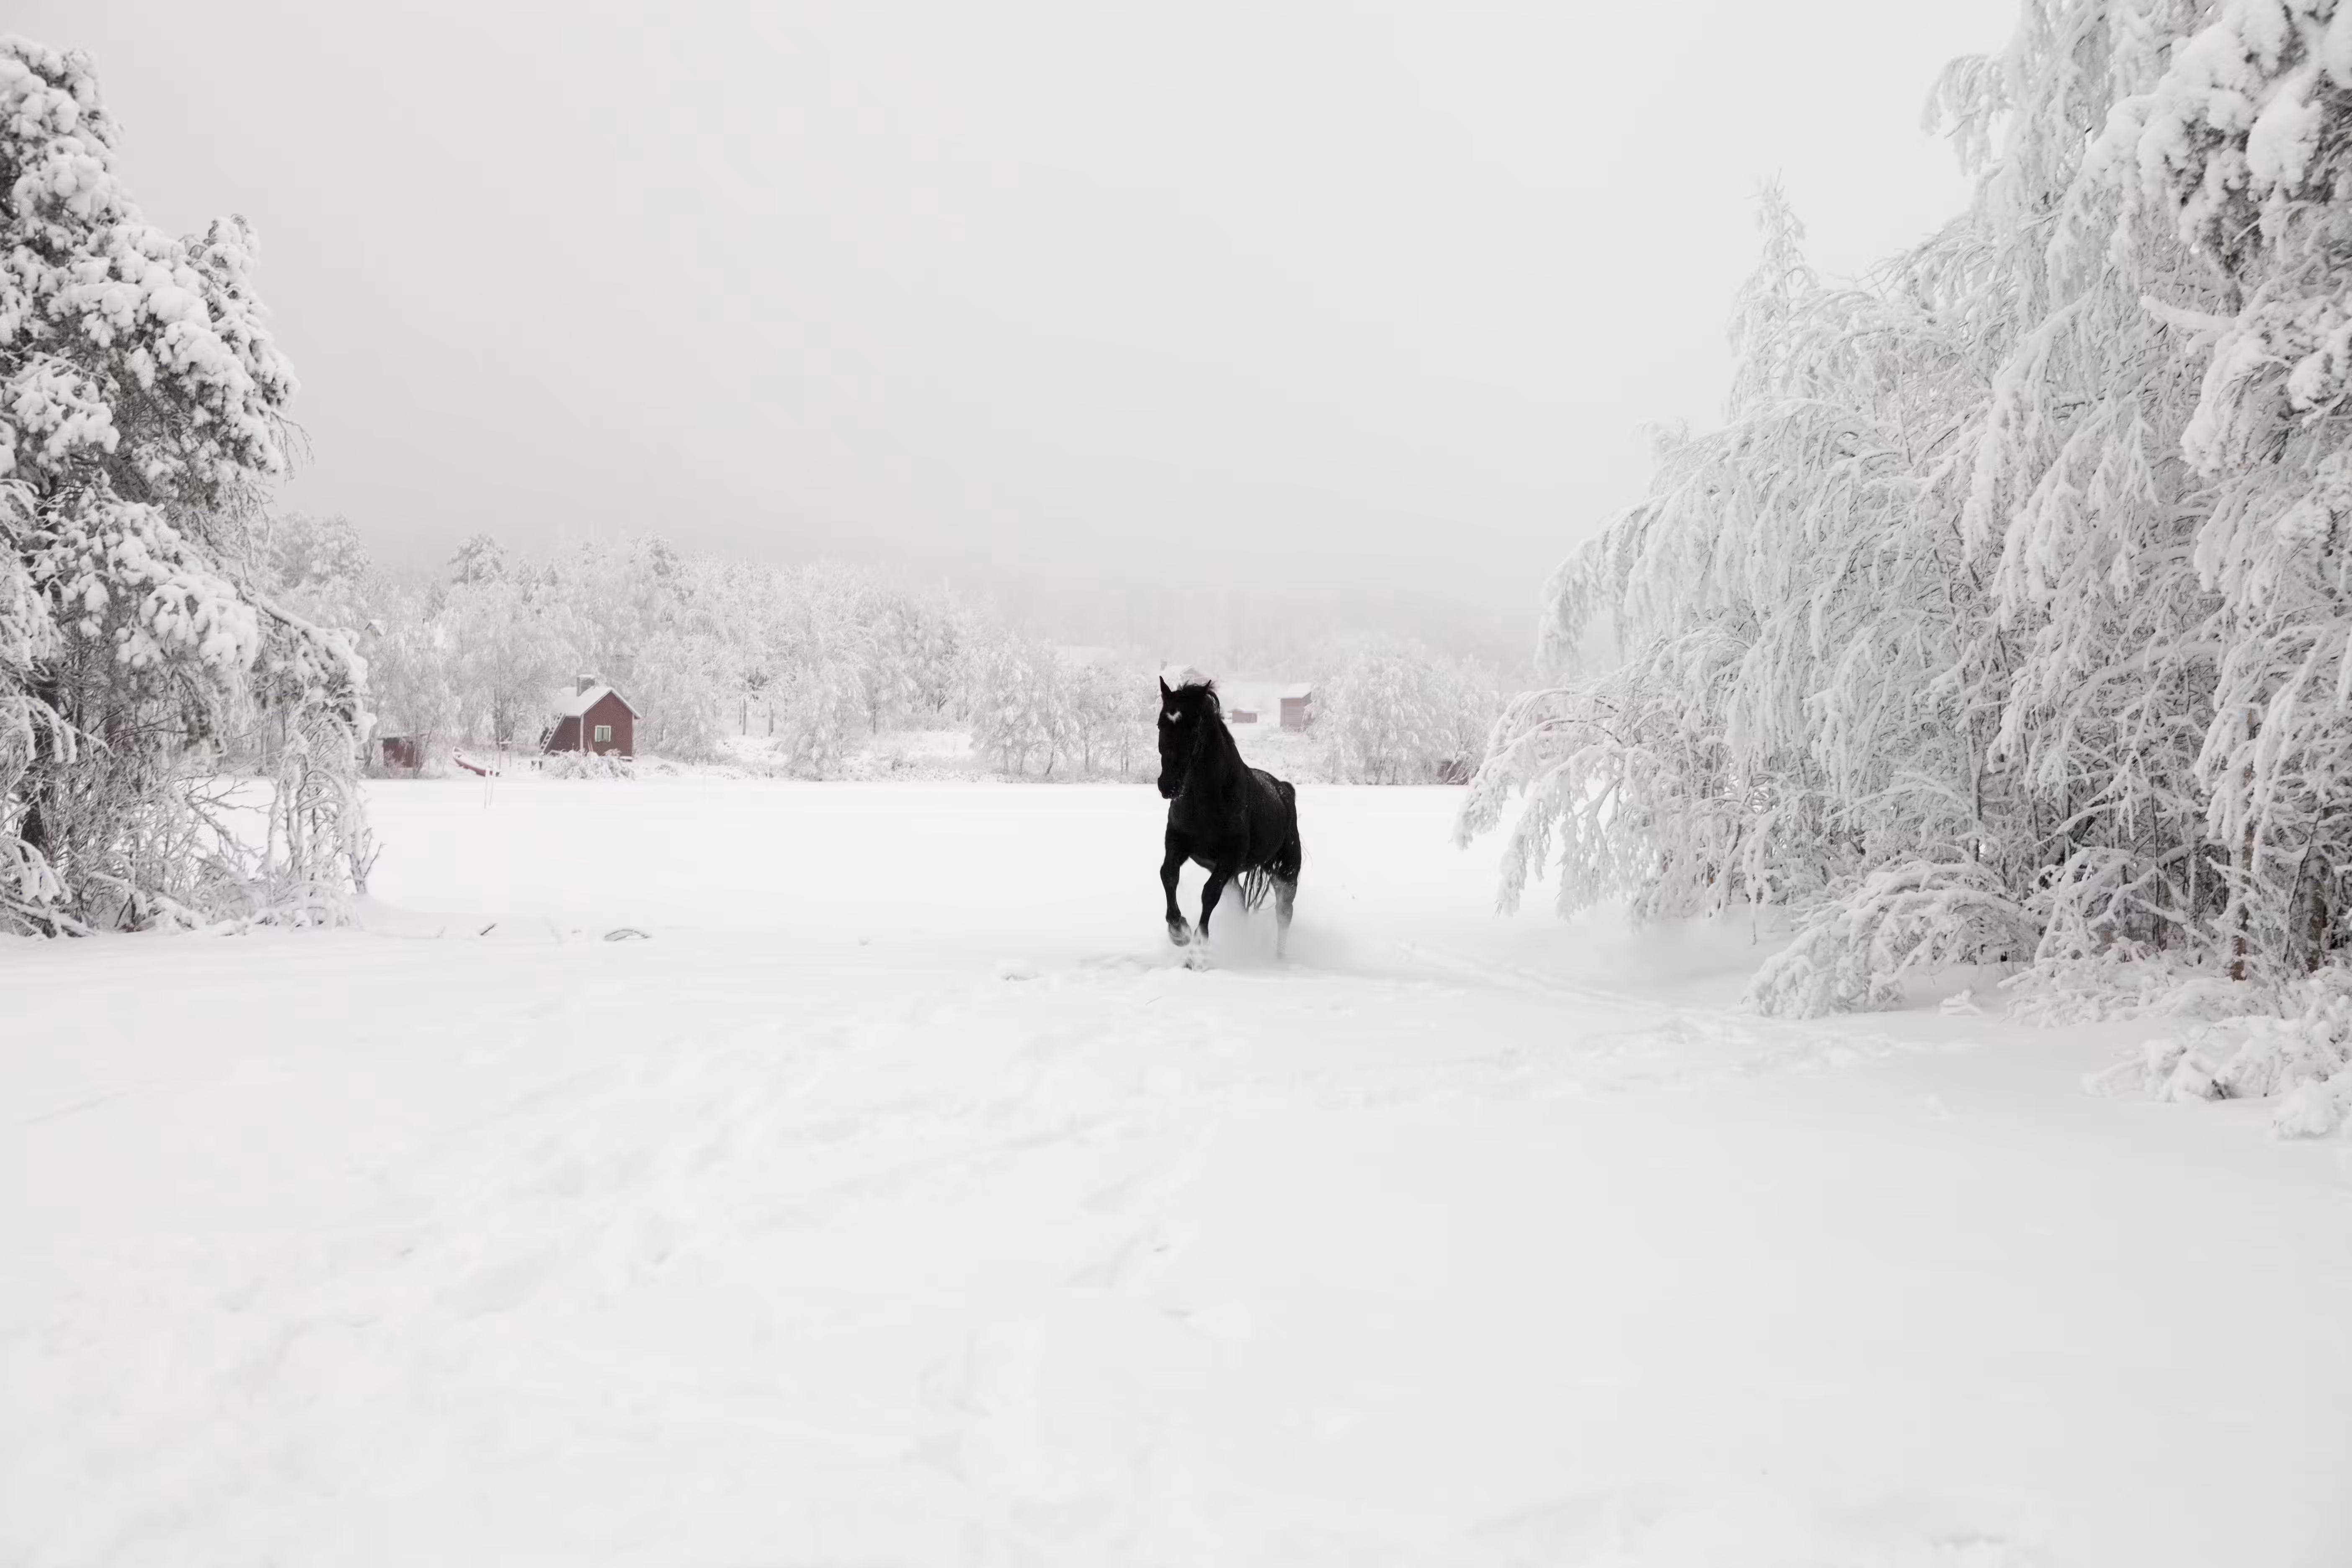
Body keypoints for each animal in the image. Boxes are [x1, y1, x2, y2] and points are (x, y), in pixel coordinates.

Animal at [1155, 676, 1302, 957]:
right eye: (1160, 724)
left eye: (1194, 727)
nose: (1168, 786)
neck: (1207, 803)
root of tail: (1284, 790)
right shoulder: (1178, 844)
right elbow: (1168, 875)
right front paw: (1179, 931)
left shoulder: (1229, 858)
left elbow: (1209, 893)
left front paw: (1197, 948)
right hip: (1236, 876)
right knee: (1243, 908)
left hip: (1285, 873)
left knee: (1285, 914)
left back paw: (1279, 959)